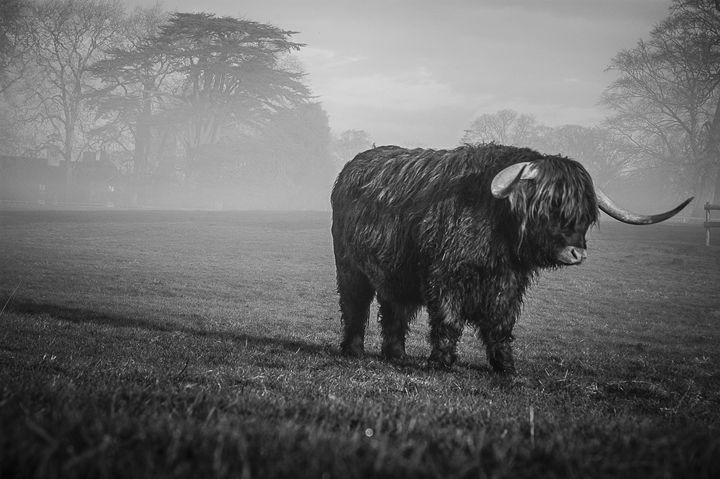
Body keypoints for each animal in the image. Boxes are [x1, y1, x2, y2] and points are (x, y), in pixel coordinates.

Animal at [330, 144, 692, 374]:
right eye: (551, 205)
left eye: (585, 214)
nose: (577, 252)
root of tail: (351, 168)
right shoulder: (445, 276)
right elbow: (448, 320)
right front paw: (441, 362)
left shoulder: (508, 282)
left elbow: (501, 325)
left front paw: (505, 366)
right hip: (350, 267)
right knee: (355, 305)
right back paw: (353, 350)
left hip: (397, 272)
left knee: (395, 310)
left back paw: (396, 356)